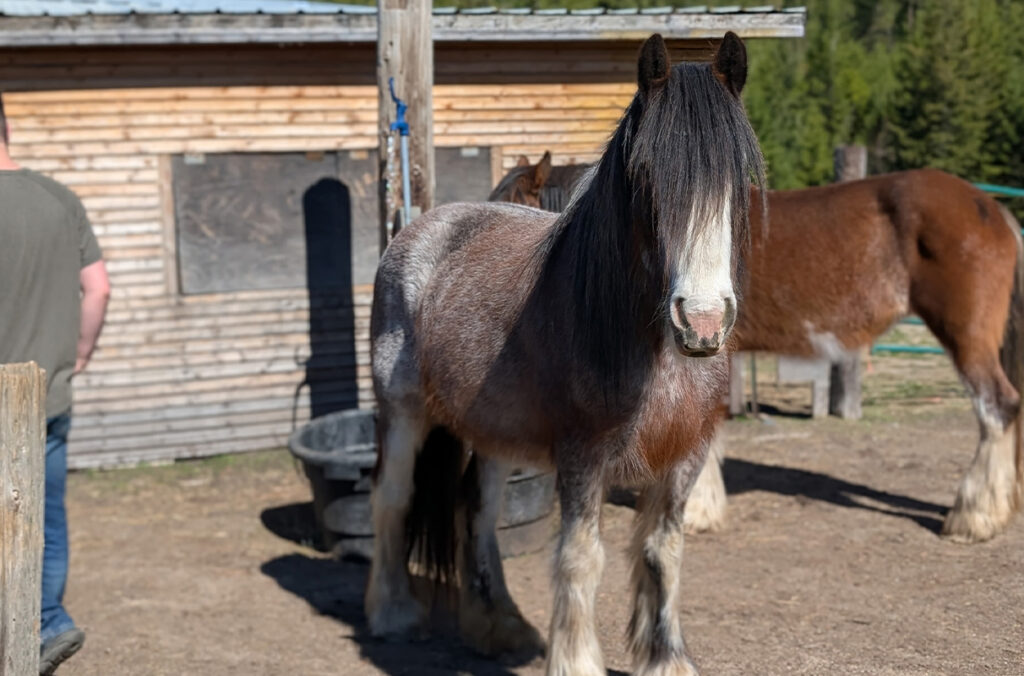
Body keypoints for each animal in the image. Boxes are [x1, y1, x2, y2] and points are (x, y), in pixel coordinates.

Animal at [367, 32, 765, 676]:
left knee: (477, 511)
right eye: (645, 175)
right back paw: (393, 614)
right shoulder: (583, 458)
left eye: (739, 176)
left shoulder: (685, 457)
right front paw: (575, 659)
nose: (702, 323)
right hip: (402, 414)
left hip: (493, 433)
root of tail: (422, 229)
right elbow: (581, 558)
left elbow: (664, 551)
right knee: (391, 499)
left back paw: (500, 625)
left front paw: (665, 657)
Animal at [492, 160, 1024, 545]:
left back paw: (973, 517)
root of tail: (992, 210)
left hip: (966, 336)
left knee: (997, 408)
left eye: (513, 205)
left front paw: (696, 511)